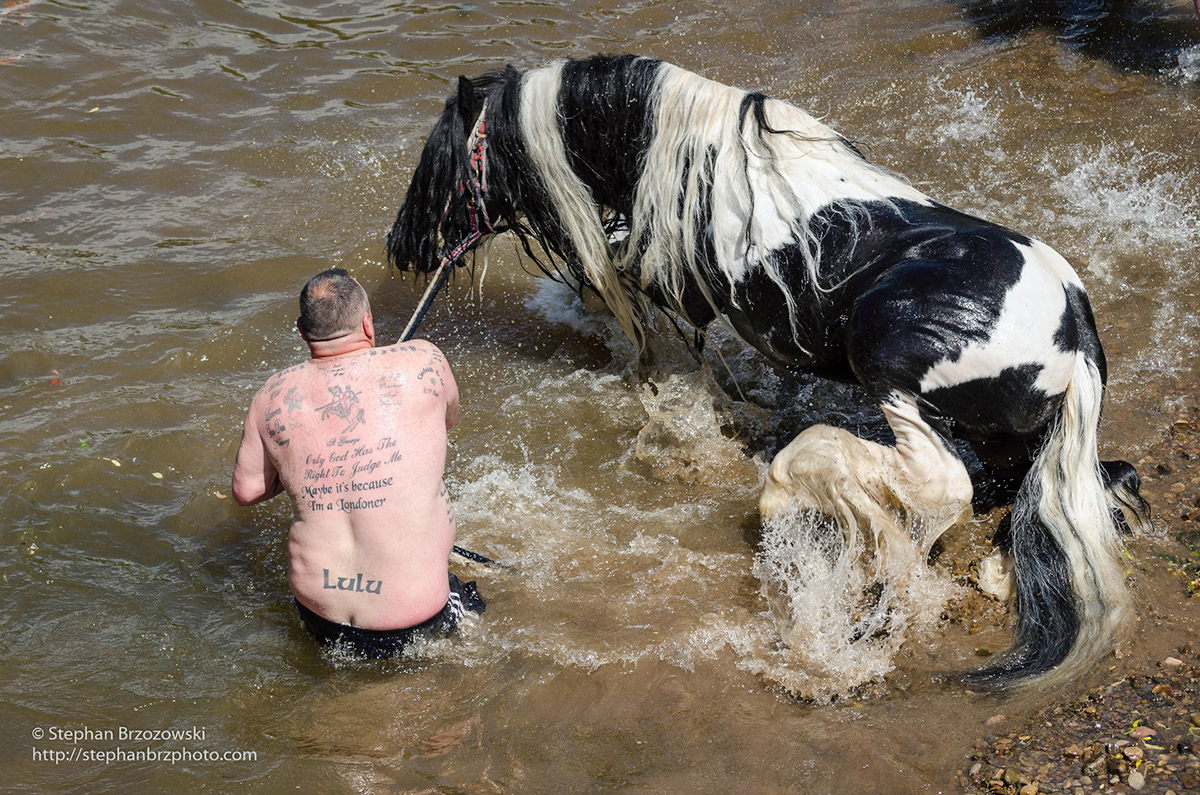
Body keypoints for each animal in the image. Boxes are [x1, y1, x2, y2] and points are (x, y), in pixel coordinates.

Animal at [388, 54, 1147, 691]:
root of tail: (1075, 333)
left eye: (438, 161)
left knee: (943, 480)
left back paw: (800, 480)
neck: (688, 158)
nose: (400, 246)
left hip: (886, 362)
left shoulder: (677, 288)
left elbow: (639, 318)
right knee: (1028, 489)